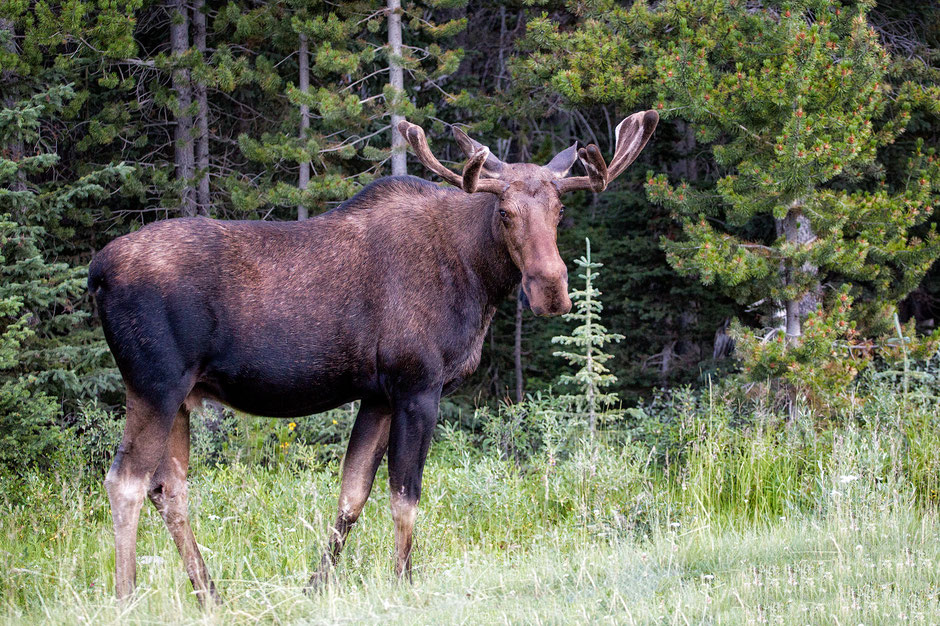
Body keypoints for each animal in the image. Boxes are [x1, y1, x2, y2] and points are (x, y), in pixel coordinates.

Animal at [88, 110, 659, 604]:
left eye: (560, 211)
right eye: (505, 213)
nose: (551, 290)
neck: (477, 280)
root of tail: (96, 273)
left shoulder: (378, 395)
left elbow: (352, 495)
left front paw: (315, 587)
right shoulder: (418, 385)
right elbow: (405, 497)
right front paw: (403, 582)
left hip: (183, 396)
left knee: (170, 490)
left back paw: (210, 595)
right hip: (155, 384)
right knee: (126, 483)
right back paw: (127, 597)